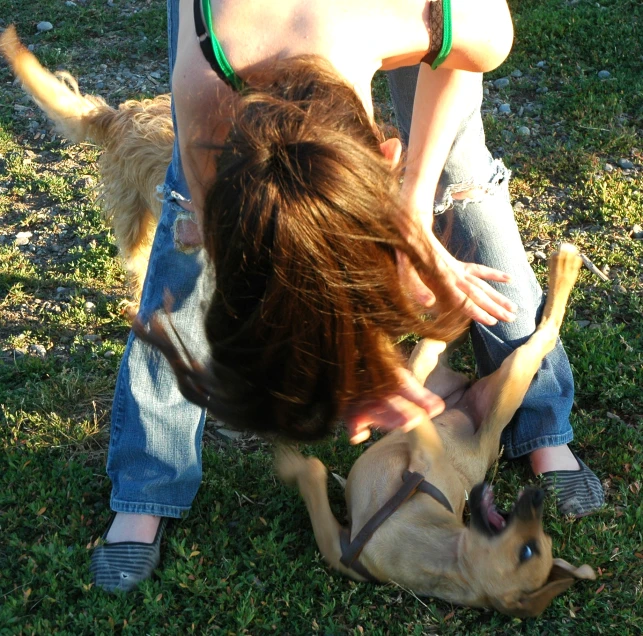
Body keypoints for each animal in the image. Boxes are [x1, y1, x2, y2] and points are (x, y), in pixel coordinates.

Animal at [276, 245, 600, 616]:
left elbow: (319, 469)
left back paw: (564, 267)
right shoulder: (336, 544)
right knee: (444, 335)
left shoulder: (422, 456)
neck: (445, 553)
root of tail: (468, 393)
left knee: (540, 333)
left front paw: (292, 463)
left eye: (531, 550)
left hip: (512, 374)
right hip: (439, 370)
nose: (537, 496)